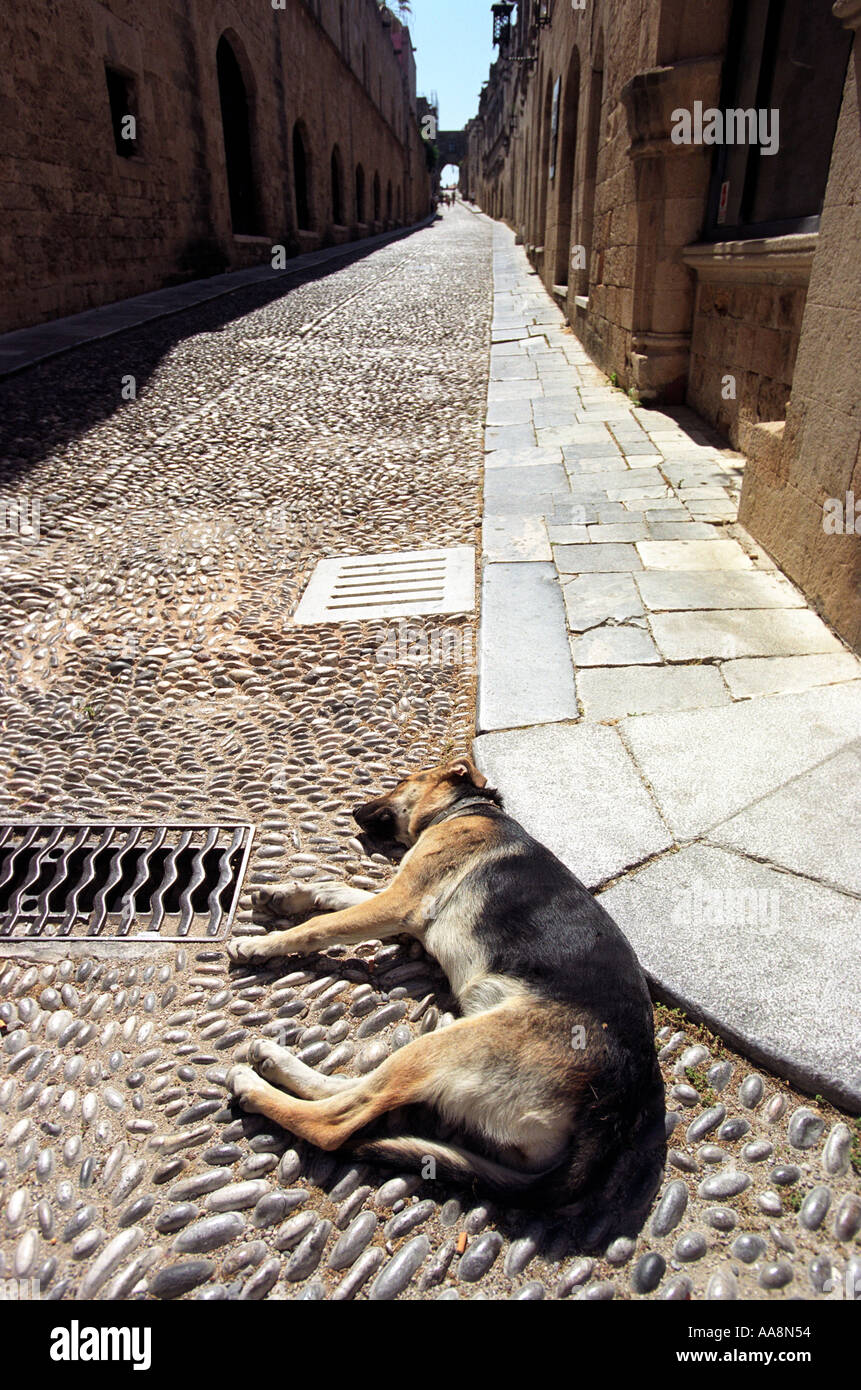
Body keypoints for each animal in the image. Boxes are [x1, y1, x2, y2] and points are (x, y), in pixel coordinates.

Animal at [225, 761, 664, 1206]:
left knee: (339, 1120)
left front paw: (261, 943)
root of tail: (612, 1112)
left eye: (402, 782)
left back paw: (254, 1087)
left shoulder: (401, 902)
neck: (466, 809)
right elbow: (332, 890)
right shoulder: (400, 910)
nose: (353, 810)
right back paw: (273, 1060)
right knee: (356, 1090)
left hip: (446, 1047)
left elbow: (319, 926)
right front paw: (284, 894)